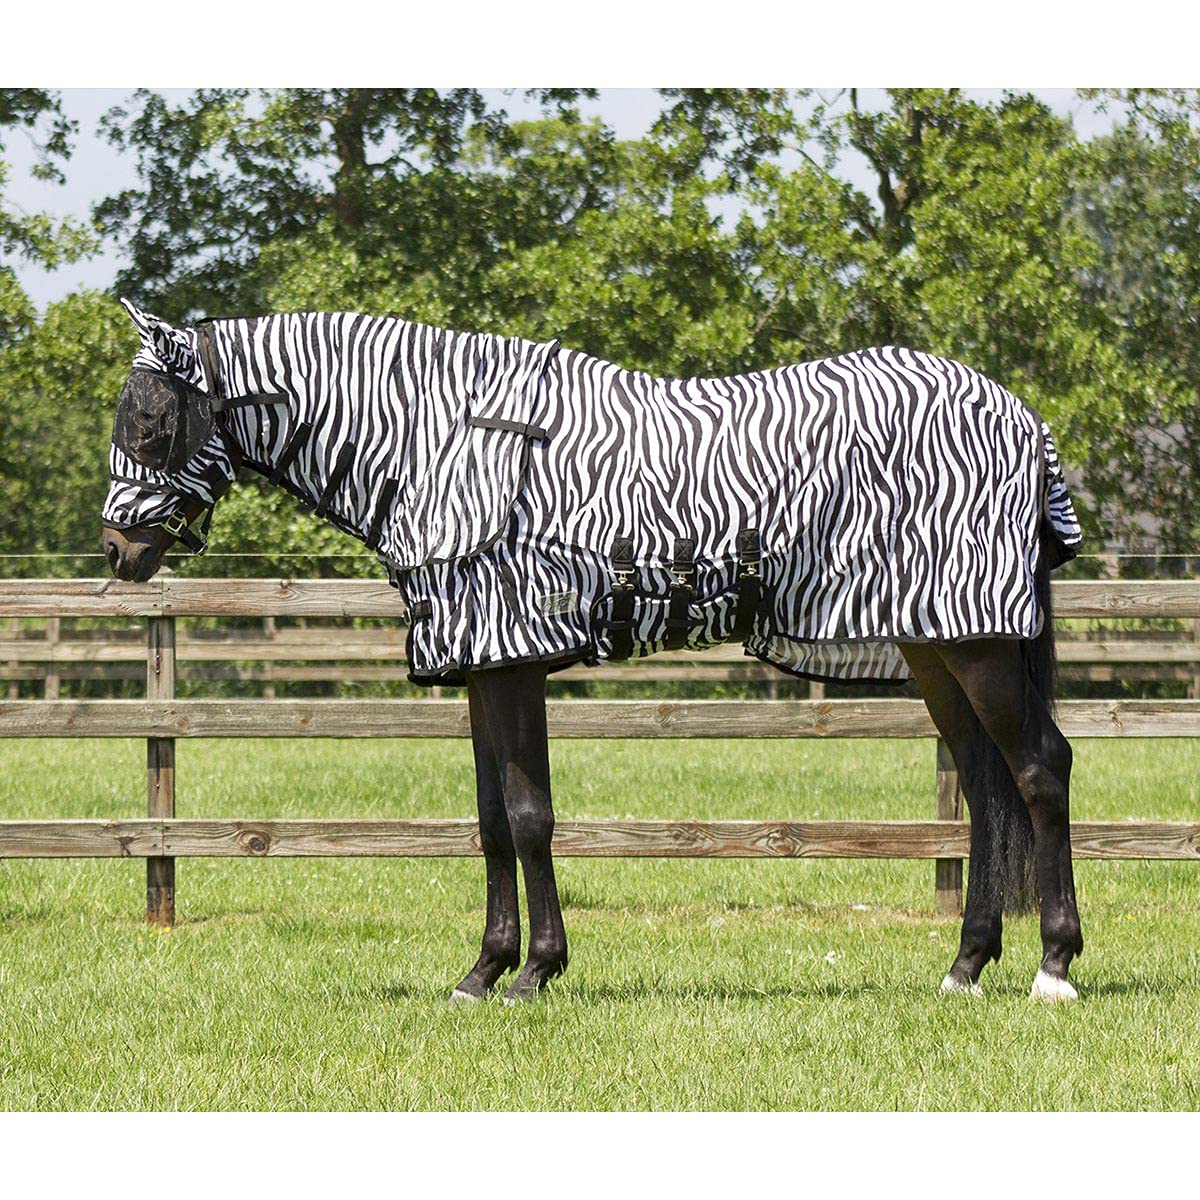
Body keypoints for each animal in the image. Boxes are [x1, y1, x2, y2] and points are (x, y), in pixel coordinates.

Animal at [100, 301, 1085, 1003]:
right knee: (986, 787)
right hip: (934, 645)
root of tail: (1022, 418)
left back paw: (1054, 967)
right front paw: (483, 971)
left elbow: (530, 815)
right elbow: (492, 821)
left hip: (979, 647)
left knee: (1039, 769)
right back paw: (965, 967)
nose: (117, 551)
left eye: (150, 420)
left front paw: (535, 971)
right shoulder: (481, 667)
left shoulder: (511, 663)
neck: (443, 440)